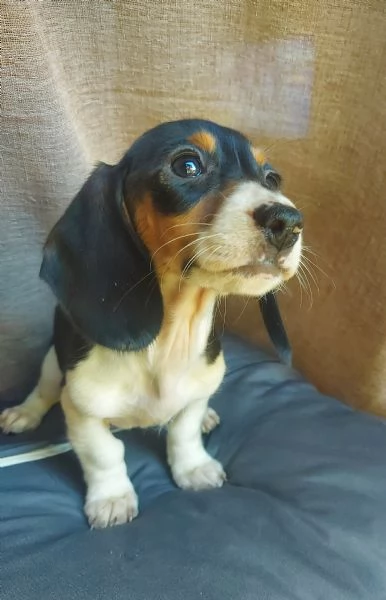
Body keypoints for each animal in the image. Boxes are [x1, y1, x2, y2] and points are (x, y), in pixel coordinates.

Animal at [0, 119, 304, 528]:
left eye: (272, 178)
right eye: (187, 165)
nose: (288, 224)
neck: (169, 339)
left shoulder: (198, 390)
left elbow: (183, 432)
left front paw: (193, 468)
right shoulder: (83, 411)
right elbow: (104, 454)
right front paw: (112, 498)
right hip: (53, 363)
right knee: (44, 390)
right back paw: (25, 413)